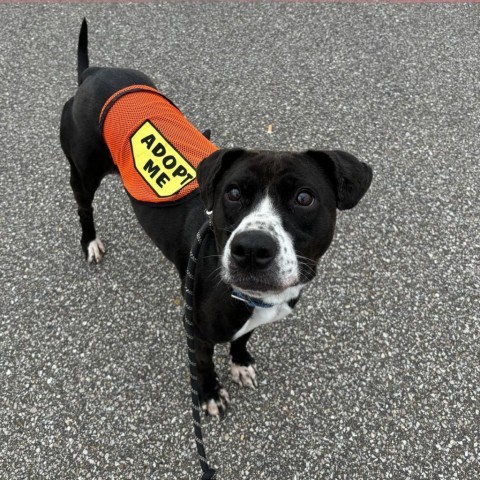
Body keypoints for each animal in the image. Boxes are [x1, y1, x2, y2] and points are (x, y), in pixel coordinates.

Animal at [60, 19, 374, 416]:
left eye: (304, 198)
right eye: (233, 193)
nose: (252, 248)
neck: (257, 299)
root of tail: (93, 73)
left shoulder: (250, 317)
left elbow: (243, 339)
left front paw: (240, 363)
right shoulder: (196, 331)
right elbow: (204, 363)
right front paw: (209, 393)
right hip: (83, 172)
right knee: (84, 207)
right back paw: (90, 242)